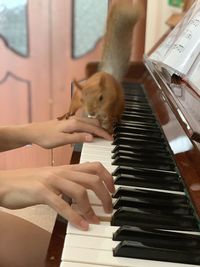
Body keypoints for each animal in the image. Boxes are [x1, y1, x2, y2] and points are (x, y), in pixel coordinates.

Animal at [57, 1, 142, 133]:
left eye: (101, 98)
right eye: (82, 99)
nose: (91, 113)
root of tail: (108, 74)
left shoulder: (110, 104)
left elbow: (108, 117)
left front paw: (108, 127)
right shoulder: (78, 98)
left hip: (120, 102)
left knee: (117, 112)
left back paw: (116, 119)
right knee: (72, 108)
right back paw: (67, 113)